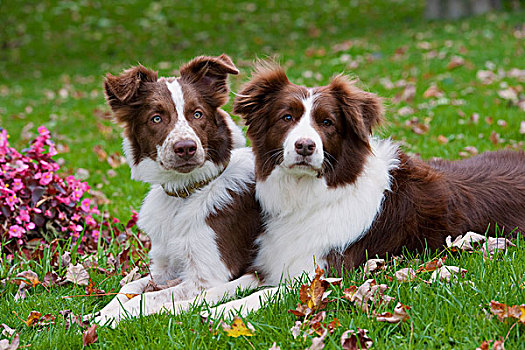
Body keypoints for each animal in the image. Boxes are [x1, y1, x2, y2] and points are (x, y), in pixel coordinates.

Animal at [94, 54, 262, 326]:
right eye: (156, 118)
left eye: (197, 114)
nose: (185, 148)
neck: (187, 192)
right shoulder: (164, 266)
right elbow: (129, 287)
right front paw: (103, 311)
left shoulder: (207, 277)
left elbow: (146, 298)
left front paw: (111, 318)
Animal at [140, 61, 524, 318]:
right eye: (286, 118)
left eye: (327, 122)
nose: (305, 146)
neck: (308, 196)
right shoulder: (269, 265)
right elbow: (219, 288)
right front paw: (168, 307)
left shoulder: (322, 276)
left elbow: (255, 297)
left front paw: (216, 314)